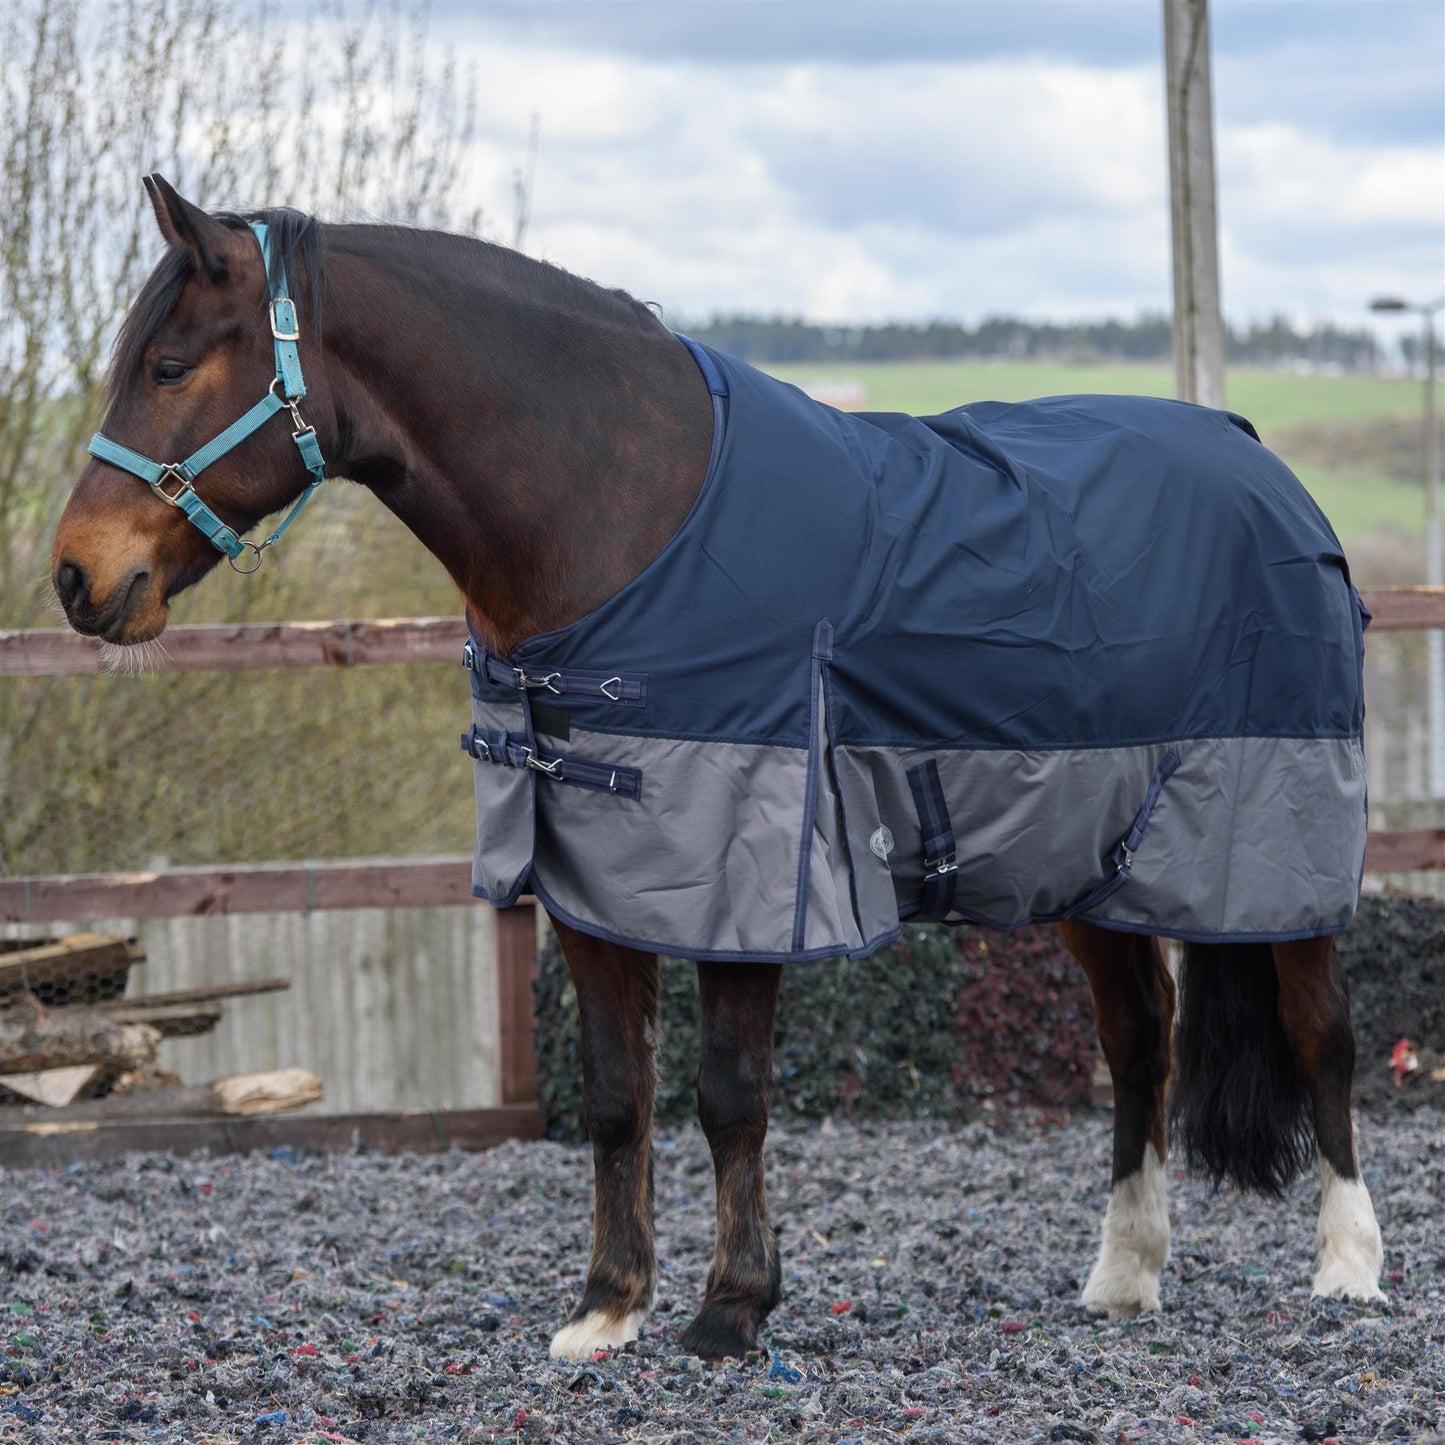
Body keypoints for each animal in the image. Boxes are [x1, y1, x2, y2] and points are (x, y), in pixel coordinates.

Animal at [52, 176, 1385, 1362]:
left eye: (168, 365)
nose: (75, 576)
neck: (619, 513)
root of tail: (1257, 457)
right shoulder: (591, 878)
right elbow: (612, 1092)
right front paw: (605, 1308)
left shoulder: (753, 871)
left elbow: (729, 1091)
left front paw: (730, 1309)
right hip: (1088, 853)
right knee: (1139, 1039)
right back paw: (1121, 1273)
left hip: (1275, 845)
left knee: (1318, 1030)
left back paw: (1346, 1267)